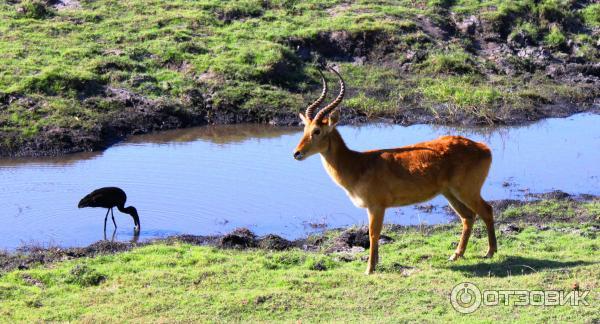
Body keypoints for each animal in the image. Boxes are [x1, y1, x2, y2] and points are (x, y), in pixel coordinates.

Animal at [296, 67, 496, 274]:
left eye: (317, 130)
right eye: (304, 129)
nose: (297, 153)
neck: (357, 164)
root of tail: (483, 148)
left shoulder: (376, 206)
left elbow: (373, 234)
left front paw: (369, 269)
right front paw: (375, 264)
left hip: (466, 191)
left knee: (487, 210)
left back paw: (489, 252)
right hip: (450, 194)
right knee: (468, 217)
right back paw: (456, 255)